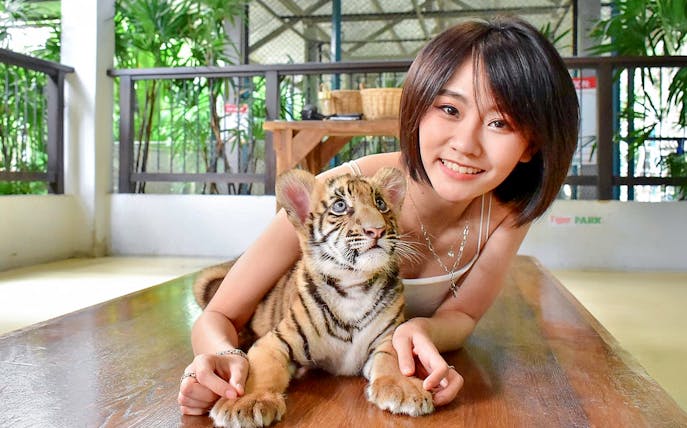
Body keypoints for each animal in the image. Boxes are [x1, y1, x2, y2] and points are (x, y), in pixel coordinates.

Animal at [192, 167, 434, 427]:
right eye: (340, 206)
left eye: (380, 203)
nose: (377, 230)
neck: (353, 286)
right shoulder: (275, 340)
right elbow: (261, 370)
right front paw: (245, 403)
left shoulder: (388, 335)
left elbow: (393, 357)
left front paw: (405, 389)